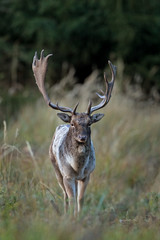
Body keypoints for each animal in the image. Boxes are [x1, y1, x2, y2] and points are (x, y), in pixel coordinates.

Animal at [32, 49, 116, 215]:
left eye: (89, 123)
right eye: (72, 123)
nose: (82, 137)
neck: (78, 168)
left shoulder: (87, 174)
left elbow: (80, 199)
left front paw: (79, 216)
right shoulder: (67, 175)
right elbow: (71, 199)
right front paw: (71, 217)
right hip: (55, 167)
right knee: (64, 194)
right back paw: (64, 213)